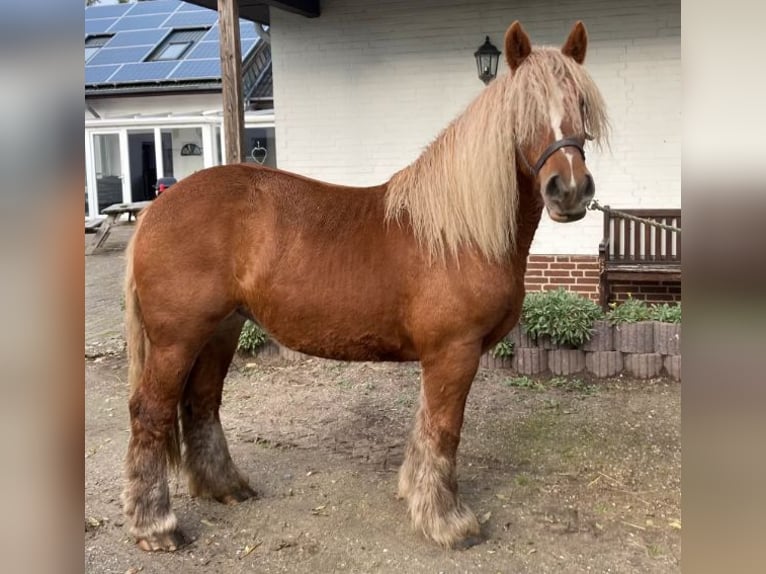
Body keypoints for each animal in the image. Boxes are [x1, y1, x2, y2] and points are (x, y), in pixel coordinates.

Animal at [122, 20, 609, 551]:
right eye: (524, 109)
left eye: (581, 105)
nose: (570, 190)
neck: (459, 233)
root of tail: (156, 210)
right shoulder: (454, 351)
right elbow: (444, 430)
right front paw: (448, 521)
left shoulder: (439, 357)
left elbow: (425, 426)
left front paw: (416, 495)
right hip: (177, 339)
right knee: (151, 413)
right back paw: (156, 526)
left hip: (220, 331)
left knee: (201, 403)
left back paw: (226, 487)